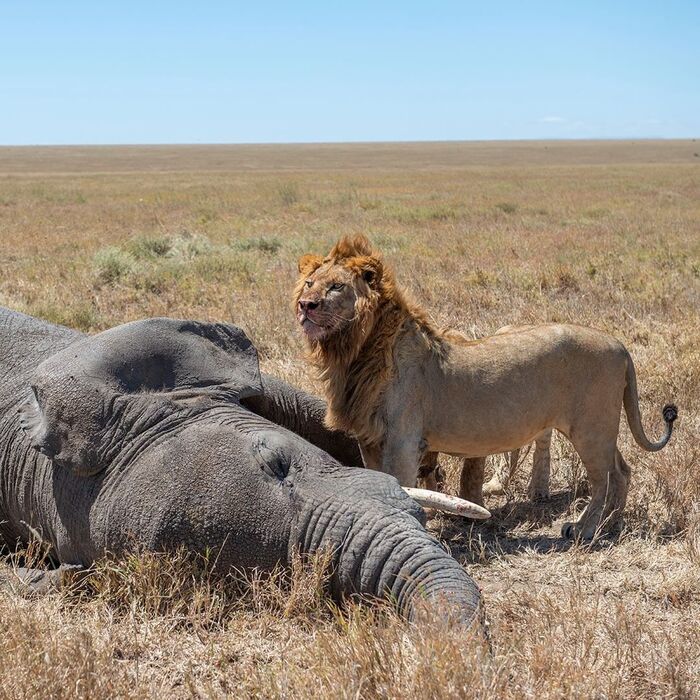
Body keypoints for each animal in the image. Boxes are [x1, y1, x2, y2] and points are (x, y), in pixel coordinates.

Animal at [296, 237, 680, 540]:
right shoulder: (370, 438)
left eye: (336, 287)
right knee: (622, 470)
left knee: (603, 478)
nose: (305, 306)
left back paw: (584, 529)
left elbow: (399, 483)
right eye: (309, 283)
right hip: (600, 428)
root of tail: (619, 345)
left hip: (590, 427)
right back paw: (610, 524)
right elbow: (377, 480)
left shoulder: (401, 441)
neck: (355, 352)